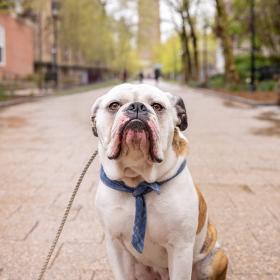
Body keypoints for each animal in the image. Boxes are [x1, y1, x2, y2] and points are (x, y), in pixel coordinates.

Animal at [91, 83, 229, 280]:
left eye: (157, 106)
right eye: (114, 105)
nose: (137, 106)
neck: (138, 182)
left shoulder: (180, 250)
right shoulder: (116, 245)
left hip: (215, 259)